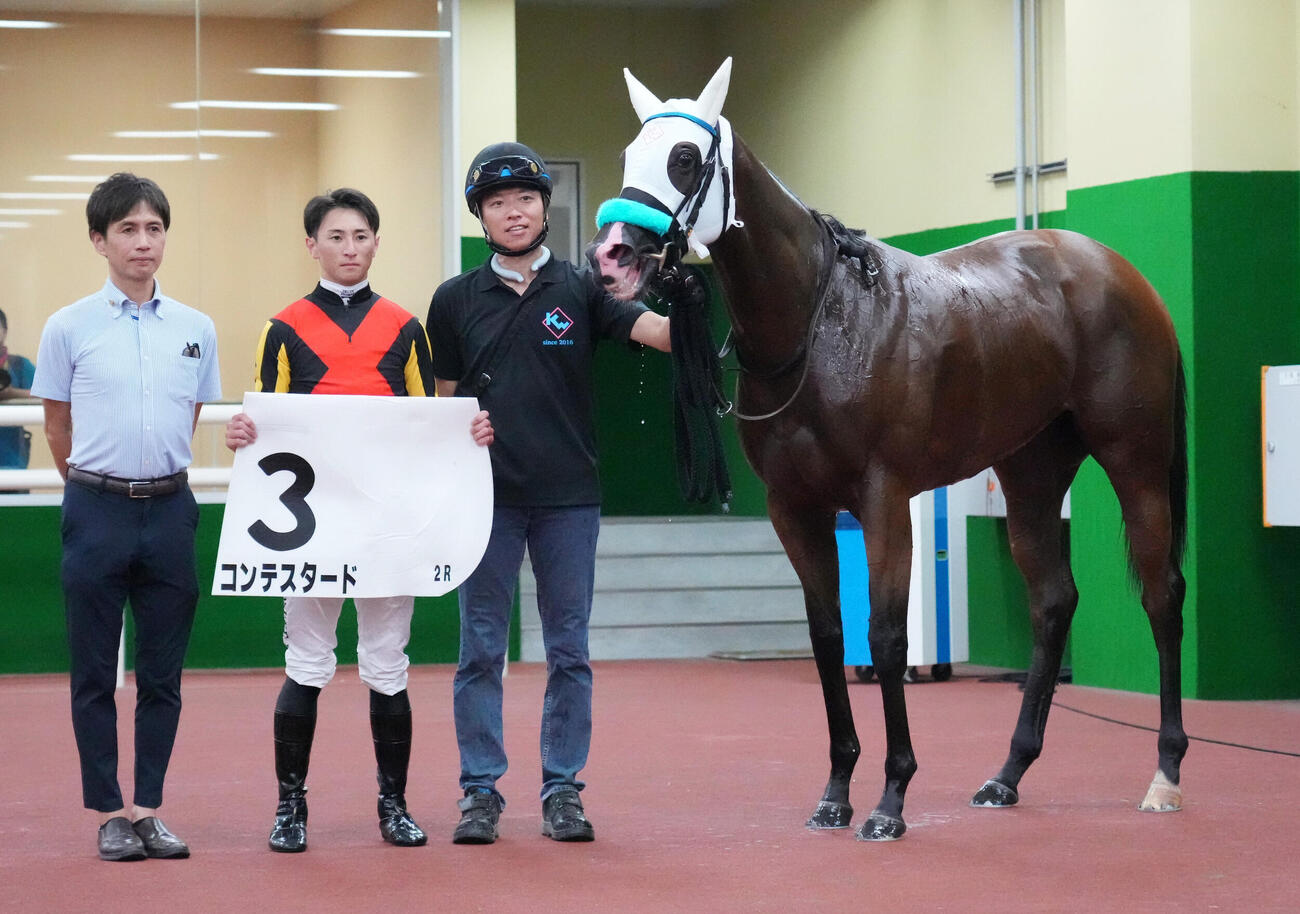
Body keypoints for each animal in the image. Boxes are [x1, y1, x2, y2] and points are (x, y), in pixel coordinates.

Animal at [587, 58, 1188, 841]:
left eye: (685, 159)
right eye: (629, 155)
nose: (613, 256)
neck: (822, 323)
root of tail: (1117, 271)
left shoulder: (883, 499)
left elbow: (888, 636)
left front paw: (890, 799)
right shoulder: (795, 508)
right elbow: (828, 636)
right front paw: (836, 793)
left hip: (1136, 462)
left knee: (1162, 594)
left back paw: (1166, 773)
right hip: (1029, 474)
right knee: (1054, 601)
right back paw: (1007, 773)